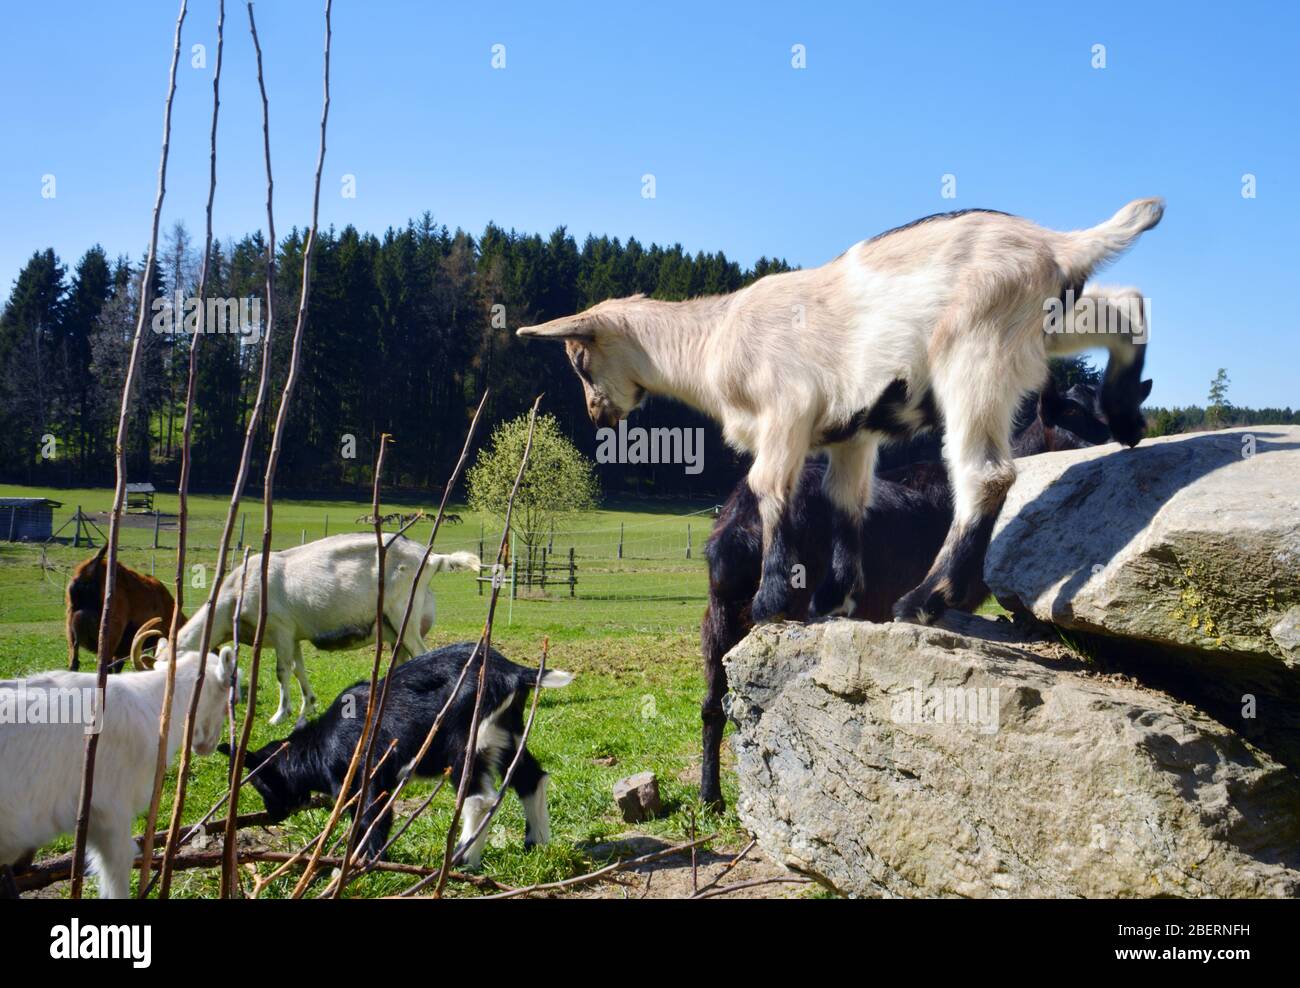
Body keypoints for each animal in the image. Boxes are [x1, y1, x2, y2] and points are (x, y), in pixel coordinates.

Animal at [160, 533, 481, 726]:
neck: (235, 596)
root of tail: (433, 559)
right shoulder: (293, 635)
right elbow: (298, 669)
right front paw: (308, 708)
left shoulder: (279, 629)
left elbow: (282, 671)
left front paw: (280, 715)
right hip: (393, 626)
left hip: (404, 613)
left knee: (421, 653)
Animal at [221, 641, 573, 868]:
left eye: (260, 783)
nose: (272, 815)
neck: (322, 744)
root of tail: (512, 671)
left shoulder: (365, 777)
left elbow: (371, 818)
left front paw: (358, 864)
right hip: (507, 735)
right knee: (531, 779)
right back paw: (537, 844)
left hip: (466, 741)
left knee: (478, 798)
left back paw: (461, 860)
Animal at [519, 202, 1163, 626]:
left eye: (579, 359)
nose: (598, 416)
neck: (712, 339)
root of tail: (1056, 244)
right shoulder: (852, 433)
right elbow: (845, 503)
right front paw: (833, 599)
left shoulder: (785, 411)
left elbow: (770, 489)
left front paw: (772, 601)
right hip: (1047, 323)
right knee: (1128, 305)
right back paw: (1125, 414)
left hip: (974, 351)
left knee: (986, 474)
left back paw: (925, 600)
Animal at [696, 376, 1138, 808]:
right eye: (1070, 416)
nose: (1116, 447)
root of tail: (740, 526)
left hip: (720, 614)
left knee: (712, 704)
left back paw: (710, 798)